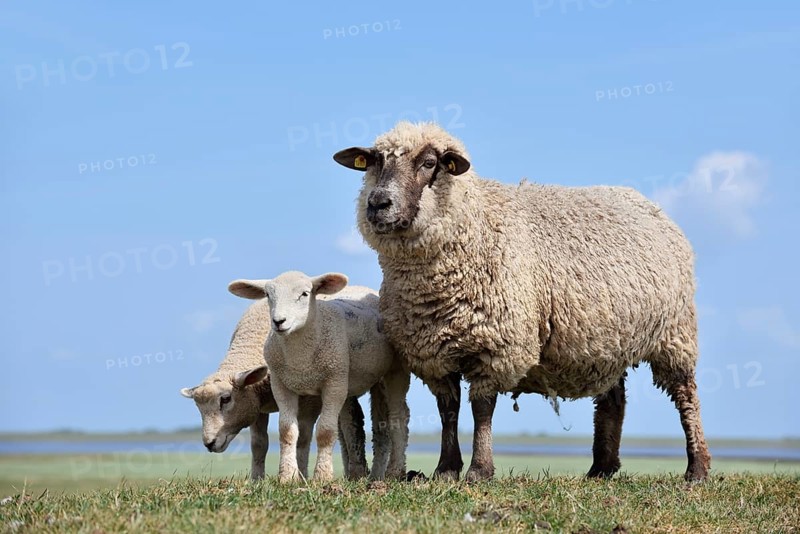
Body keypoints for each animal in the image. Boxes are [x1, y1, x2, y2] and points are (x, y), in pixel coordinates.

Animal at [180, 295, 392, 480]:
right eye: (198, 407)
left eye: (226, 399)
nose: (209, 443)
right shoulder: (256, 405)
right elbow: (259, 444)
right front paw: (257, 480)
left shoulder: (309, 402)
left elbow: (303, 438)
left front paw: (301, 476)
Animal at [229, 272, 410, 483]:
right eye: (267, 295)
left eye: (305, 294)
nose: (278, 321)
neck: (300, 358)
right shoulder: (281, 385)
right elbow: (287, 431)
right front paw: (287, 476)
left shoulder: (334, 383)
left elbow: (325, 430)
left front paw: (322, 476)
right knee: (359, 422)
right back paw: (364, 474)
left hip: (395, 370)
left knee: (398, 415)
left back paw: (390, 473)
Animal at [332, 121, 712, 482]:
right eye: (374, 162)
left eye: (428, 163)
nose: (378, 204)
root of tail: (649, 205)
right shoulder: (433, 352)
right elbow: (448, 410)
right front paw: (446, 469)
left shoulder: (496, 345)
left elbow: (482, 408)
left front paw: (479, 471)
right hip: (605, 339)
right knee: (613, 399)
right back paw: (601, 469)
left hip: (674, 334)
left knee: (686, 397)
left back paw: (696, 470)